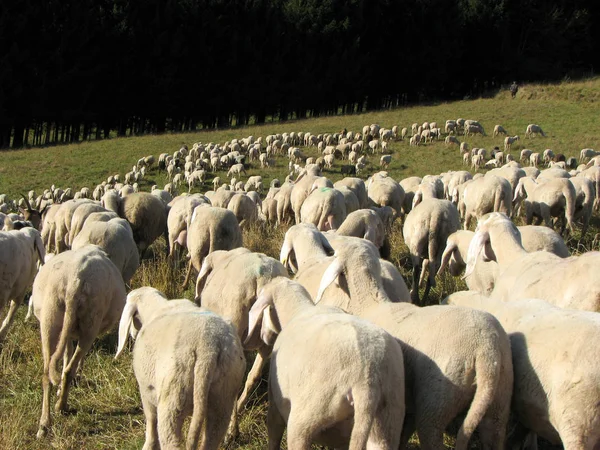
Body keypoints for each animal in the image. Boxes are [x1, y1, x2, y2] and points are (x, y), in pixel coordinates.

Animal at [32, 244, 126, 438]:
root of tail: (74, 281)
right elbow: (73, 361)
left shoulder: (67, 333)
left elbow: (66, 354)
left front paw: (60, 389)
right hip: (90, 323)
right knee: (69, 370)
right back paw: (61, 406)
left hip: (50, 317)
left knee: (46, 373)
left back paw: (44, 424)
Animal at [113, 288, 245, 450]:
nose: (132, 334)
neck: (156, 307)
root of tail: (208, 349)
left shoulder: (146, 392)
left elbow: (151, 422)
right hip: (223, 395)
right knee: (213, 435)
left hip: (173, 396)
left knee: (170, 438)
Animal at [246, 278, 406, 450]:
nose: (265, 339)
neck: (298, 310)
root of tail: (368, 382)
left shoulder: (275, 402)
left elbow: (273, 433)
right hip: (388, 420)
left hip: (308, 414)